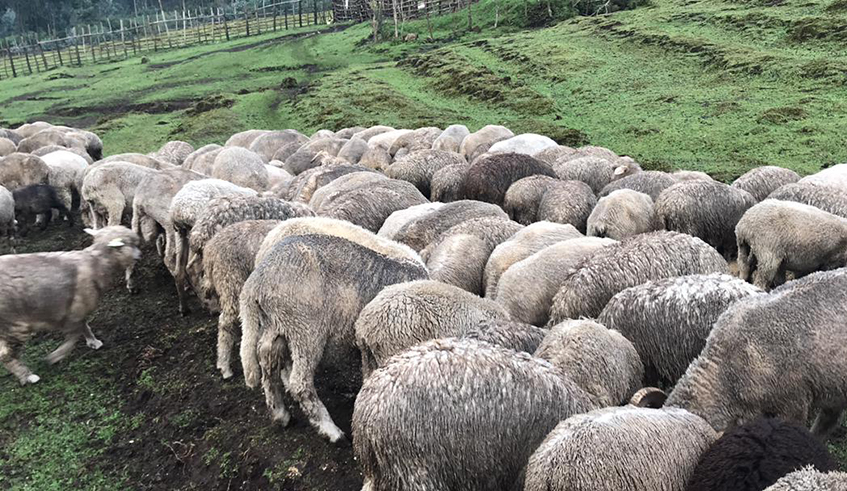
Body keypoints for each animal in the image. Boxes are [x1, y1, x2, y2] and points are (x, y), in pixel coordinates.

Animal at [0, 226, 141, 385]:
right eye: (133, 244)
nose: (139, 256)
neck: (96, 261)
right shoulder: (75, 311)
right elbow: (74, 336)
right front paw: (56, 356)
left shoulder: (78, 309)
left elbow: (84, 326)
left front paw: (93, 341)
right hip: (16, 325)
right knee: (6, 355)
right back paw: (28, 377)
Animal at [169, 179, 258, 315]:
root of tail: (179, 210)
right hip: (203, 240)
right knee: (194, 269)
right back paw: (210, 305)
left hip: (180, 235)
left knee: (179, 272)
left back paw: (184, 308)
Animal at [240, 234, 428, 442]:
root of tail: (256, 282)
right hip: (305, 326)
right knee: (300, 382)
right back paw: (330, 430)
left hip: (276, 324)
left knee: (267, 359)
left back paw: (281, 414)